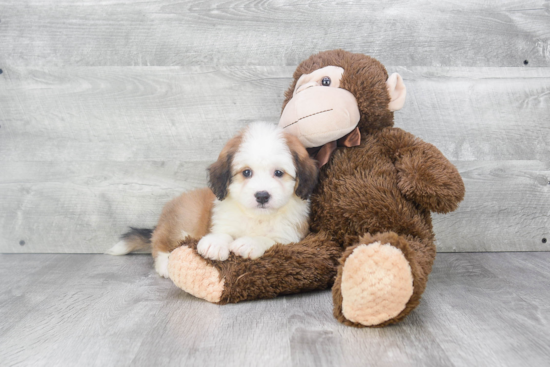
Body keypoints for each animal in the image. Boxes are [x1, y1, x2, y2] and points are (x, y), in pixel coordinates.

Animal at [106, 122, 320, 278]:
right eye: (247, 172)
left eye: (278, 173)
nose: (262, 195)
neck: (256, 217)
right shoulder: (221, 219)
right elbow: (222, 232)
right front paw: (215, 244)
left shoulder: (292, 235)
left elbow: (272, 239)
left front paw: (250, 242)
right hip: (182, 219)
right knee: (159, 243)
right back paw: (166, 264)